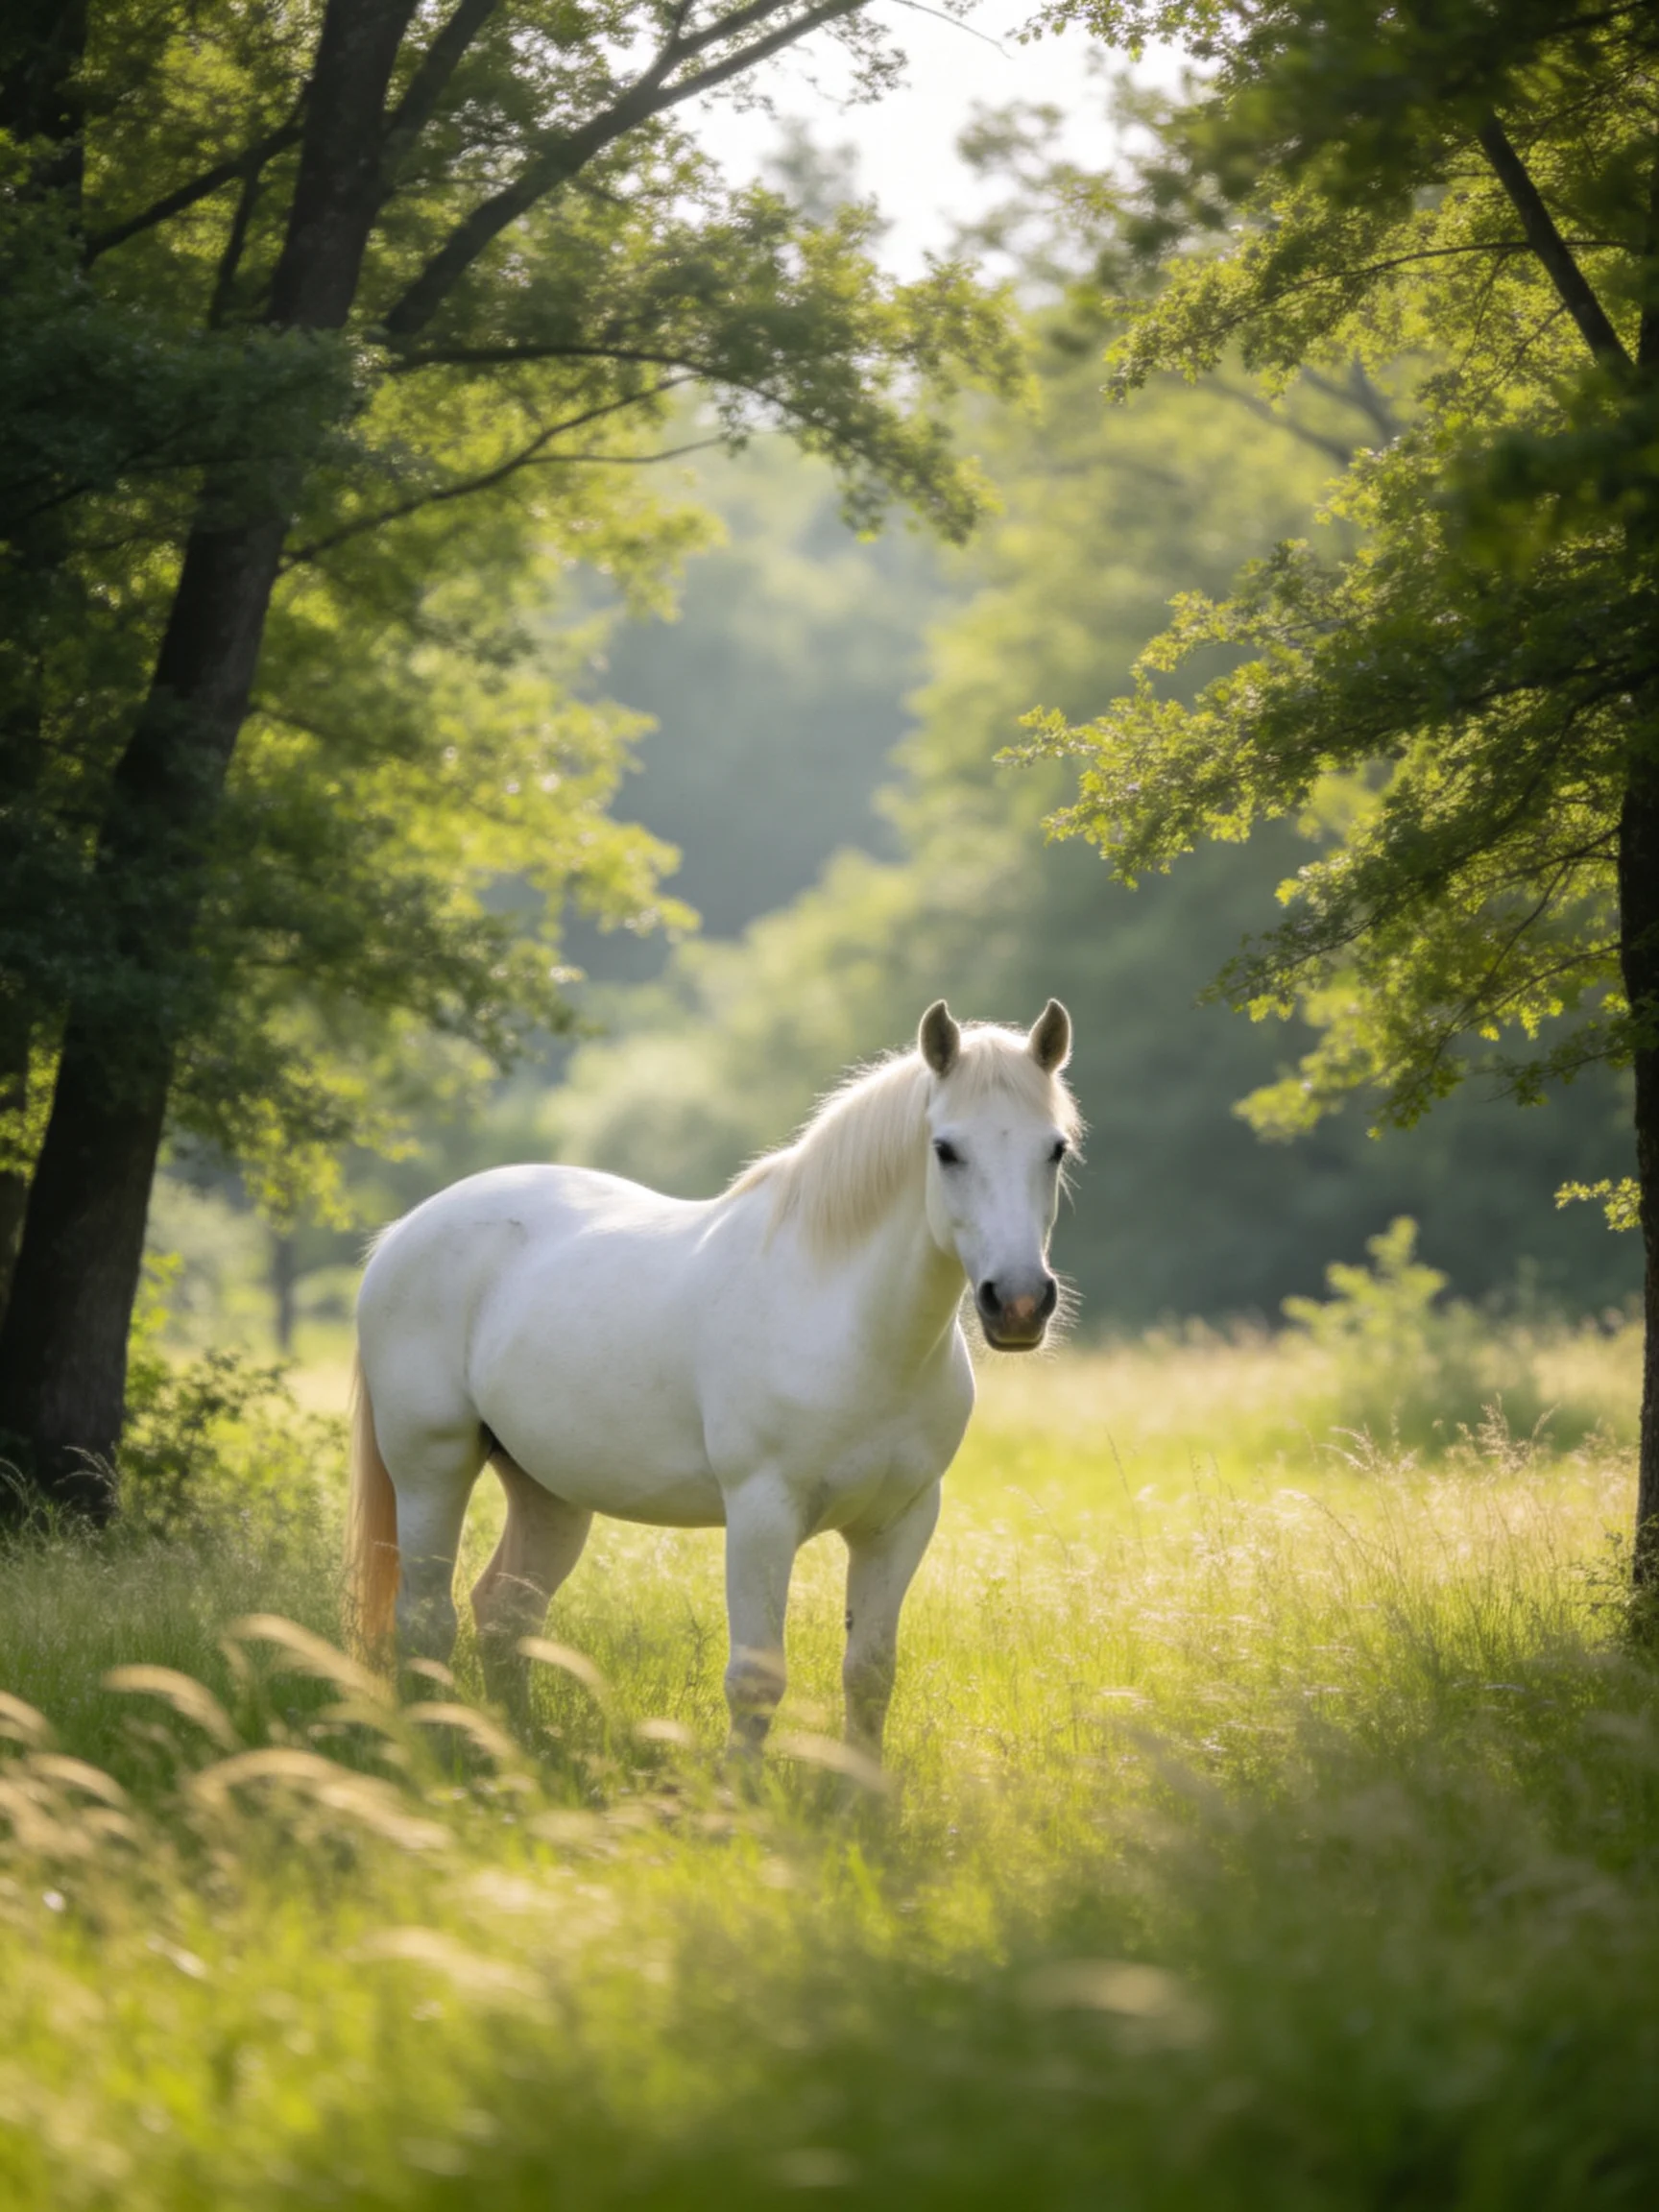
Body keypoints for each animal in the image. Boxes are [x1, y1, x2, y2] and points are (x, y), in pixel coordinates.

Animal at [347, 998, 1081, 1758]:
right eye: (946, 1150)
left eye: (1054, 1148)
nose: (1018, 1303)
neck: (846, 1319)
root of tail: (405, 1231)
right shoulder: (762, 1516)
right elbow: (756, 1681)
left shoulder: (900, 1522)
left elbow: (871, 1676)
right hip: (432, 1469)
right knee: (426, 1620)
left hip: (548, 1491)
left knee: (505, 1613)